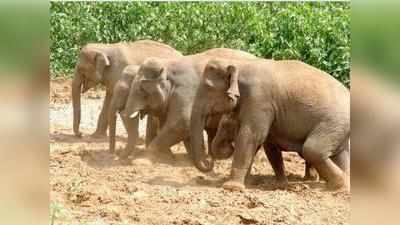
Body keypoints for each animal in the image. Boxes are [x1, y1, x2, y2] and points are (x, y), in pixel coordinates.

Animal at [121, 48, 256, 163]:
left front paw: (143, 159)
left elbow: (181, 123)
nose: (118, 156)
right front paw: (169, 158)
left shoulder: (186, 92)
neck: (168, 64)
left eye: (142, 88)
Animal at [191, 58, 350, 192]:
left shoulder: (258, 99)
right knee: (340, 155)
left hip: (333, 121)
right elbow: (267, 144)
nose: (209, 161)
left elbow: (250, 136)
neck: (241, 63)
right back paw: (342, 186)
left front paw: (231, 187)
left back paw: (339, 184)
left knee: (312, 150)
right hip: (340, 128)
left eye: (208, 87)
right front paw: (278, 185)